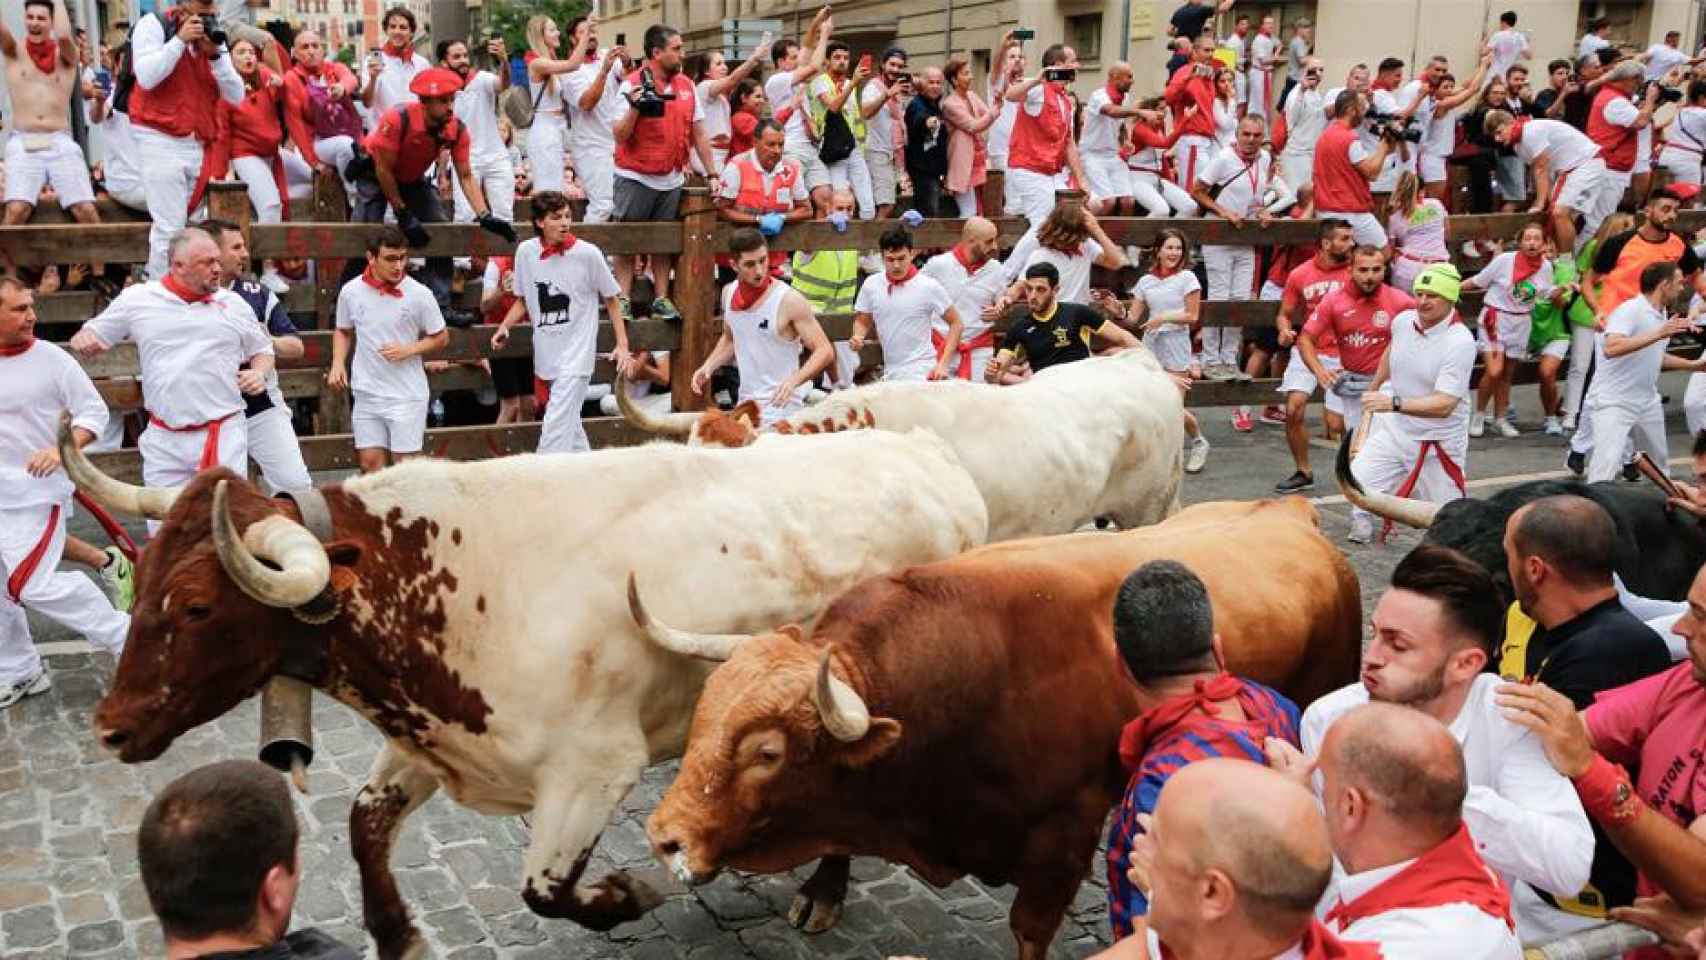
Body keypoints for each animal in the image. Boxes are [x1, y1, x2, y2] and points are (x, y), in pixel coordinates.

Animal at [66, 424, 989, 954]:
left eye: (195, 604)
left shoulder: (594, 770)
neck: (462, 584)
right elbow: (365, 827)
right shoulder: (429, 740)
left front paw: (626, 892)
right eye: (142, 578)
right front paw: (399, 937)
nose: (110, 728)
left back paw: (823, 892)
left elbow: (546, 891)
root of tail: (929, 453)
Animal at [631, 501, 1357, 954]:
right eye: (703, 713)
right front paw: (822, 890)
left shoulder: (1066, 831)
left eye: (768, 753)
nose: (664, 838)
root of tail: (1289, 515)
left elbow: (1030, 929)